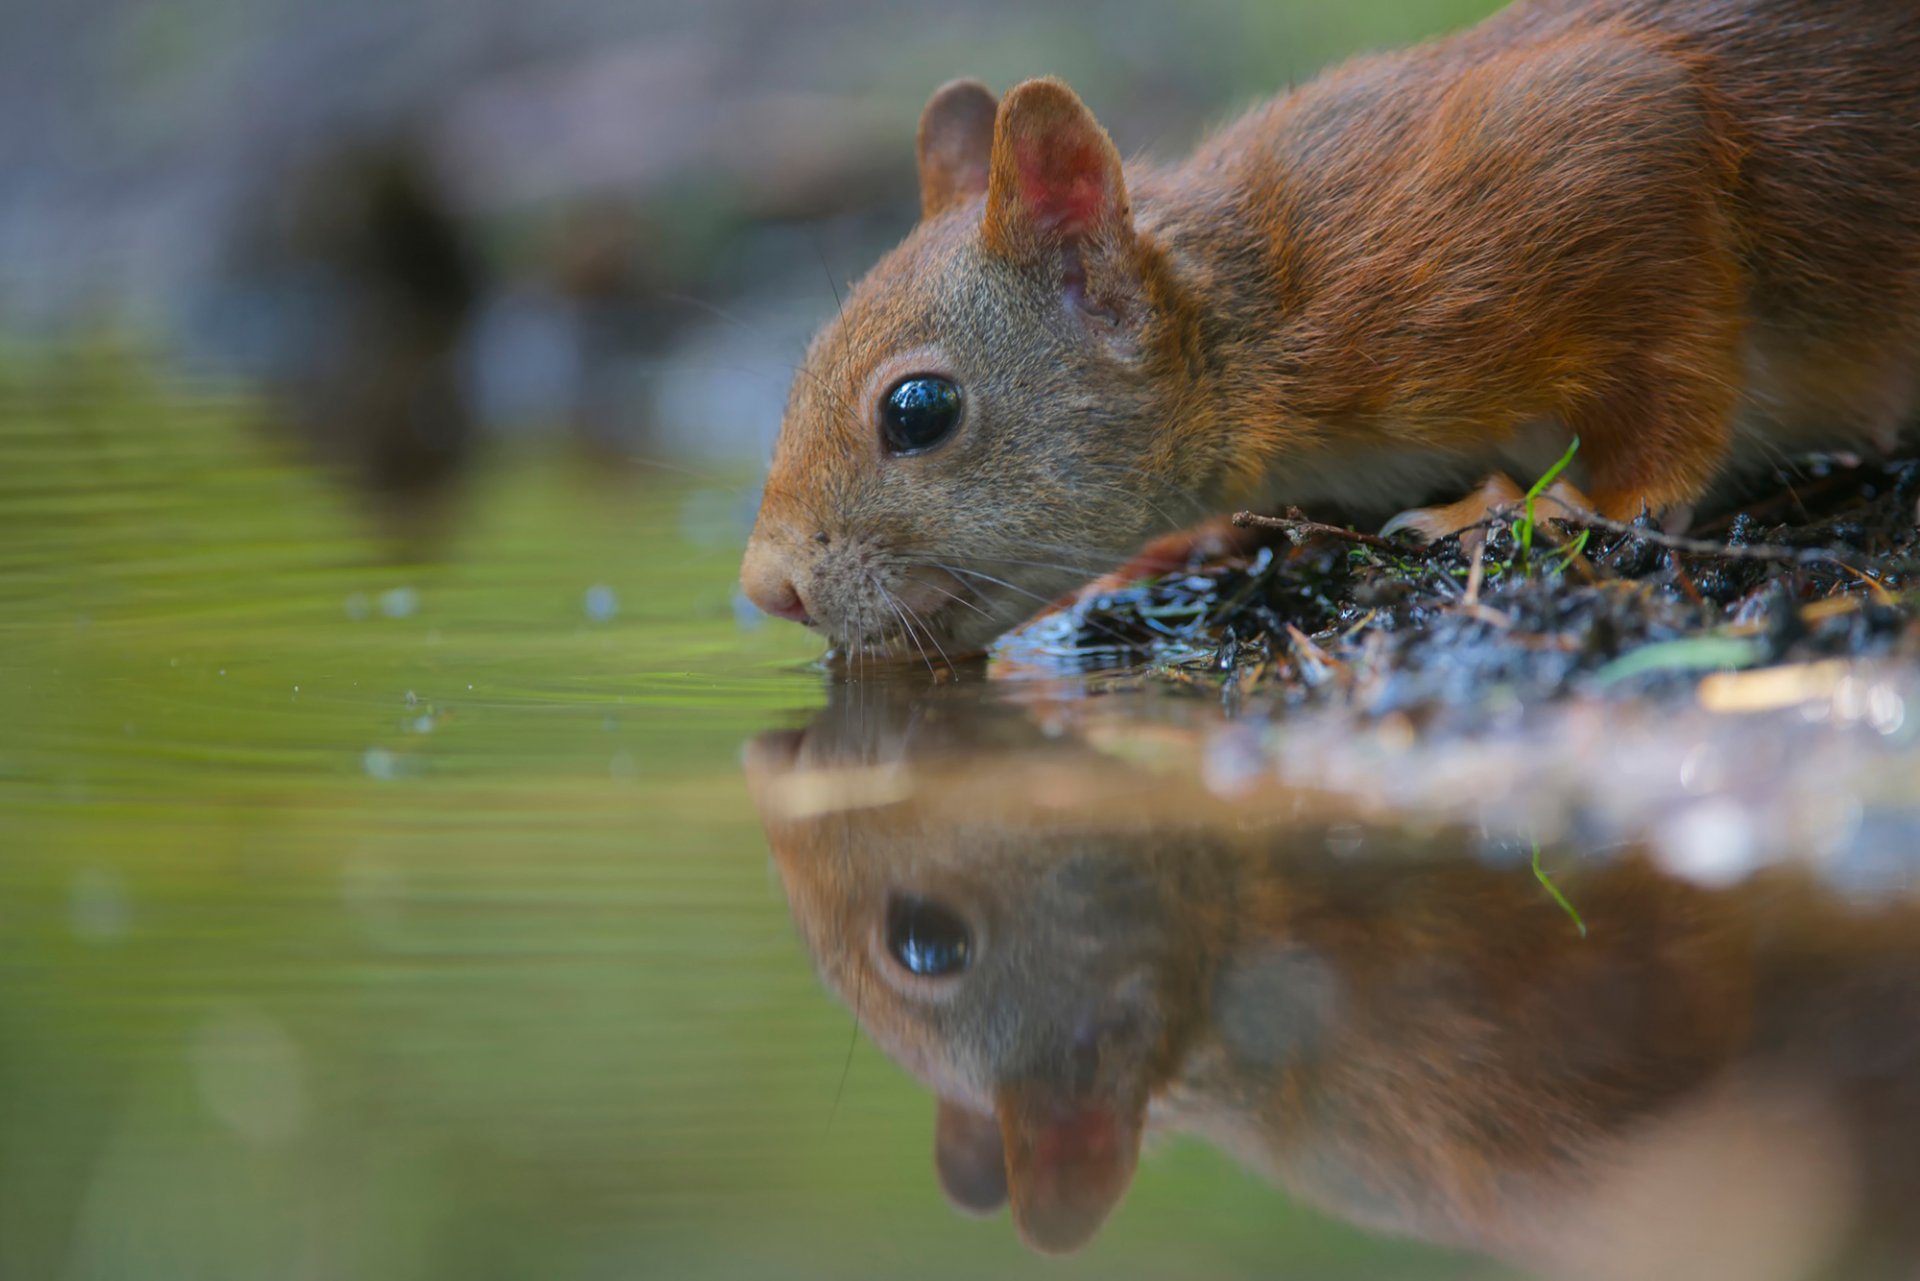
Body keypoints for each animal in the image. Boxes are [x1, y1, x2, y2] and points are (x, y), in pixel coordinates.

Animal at [741, 0, 1920, 660]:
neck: (1255, 326)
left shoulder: (1601, 156)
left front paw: (1546, 503)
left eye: (919, 410)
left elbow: (1670, 399)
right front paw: (1188, 546)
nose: (767, 591)